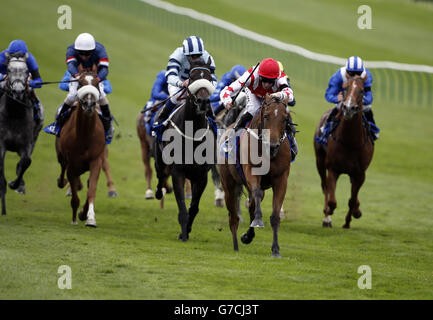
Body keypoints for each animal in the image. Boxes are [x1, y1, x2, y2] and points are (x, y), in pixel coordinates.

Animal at [0, 53, 42, 216]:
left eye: (26, 71)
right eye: (9, 70)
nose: (18, 91)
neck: (15, 113)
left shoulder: (26, 144)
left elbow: (26, 162)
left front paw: (15, 184)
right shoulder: (1, 144)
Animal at [55, 71, 105, 226]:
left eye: (96, 83)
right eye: (81, 83)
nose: (89, 104)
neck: (84, 136)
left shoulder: (96, 160)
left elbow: (92, 189)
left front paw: (89, 217)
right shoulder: (72, 164)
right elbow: (75, 197)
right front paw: (75, 218)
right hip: (61, 155)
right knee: (63, 169)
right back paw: (62, 182)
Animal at [154, 58, 216, 242]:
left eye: (208, 77)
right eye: (192, 77)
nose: (203, 102)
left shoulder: (201, 176)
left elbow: (193, 207)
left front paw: (187, 230)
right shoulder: (178, 172)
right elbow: (182, 206)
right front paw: (183, 233)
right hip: (159, 158)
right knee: (160, 175)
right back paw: (159, 192)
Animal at [219, 95, 290, 258]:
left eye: (285, 118)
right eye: (266, 116)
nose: (273, 146)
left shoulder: (281, 179)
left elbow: (275, 215)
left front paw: (275, 249)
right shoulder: (251, 172)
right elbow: (255, 196)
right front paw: (258, 220)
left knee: (251, 205)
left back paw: (247, 236)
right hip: (228, 184)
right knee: (233, 216)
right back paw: (236, 246)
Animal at [312, 75, 372, 228]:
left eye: (362, 91)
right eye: (344, 88)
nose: (349, 107)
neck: (350, 141)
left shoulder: (360, 173)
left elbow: (352, 199)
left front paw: (348, 221)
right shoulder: (333, 169)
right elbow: (332, 199)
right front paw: (328, 212)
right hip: (319, 161)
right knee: (325, 186)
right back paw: (327, 217)